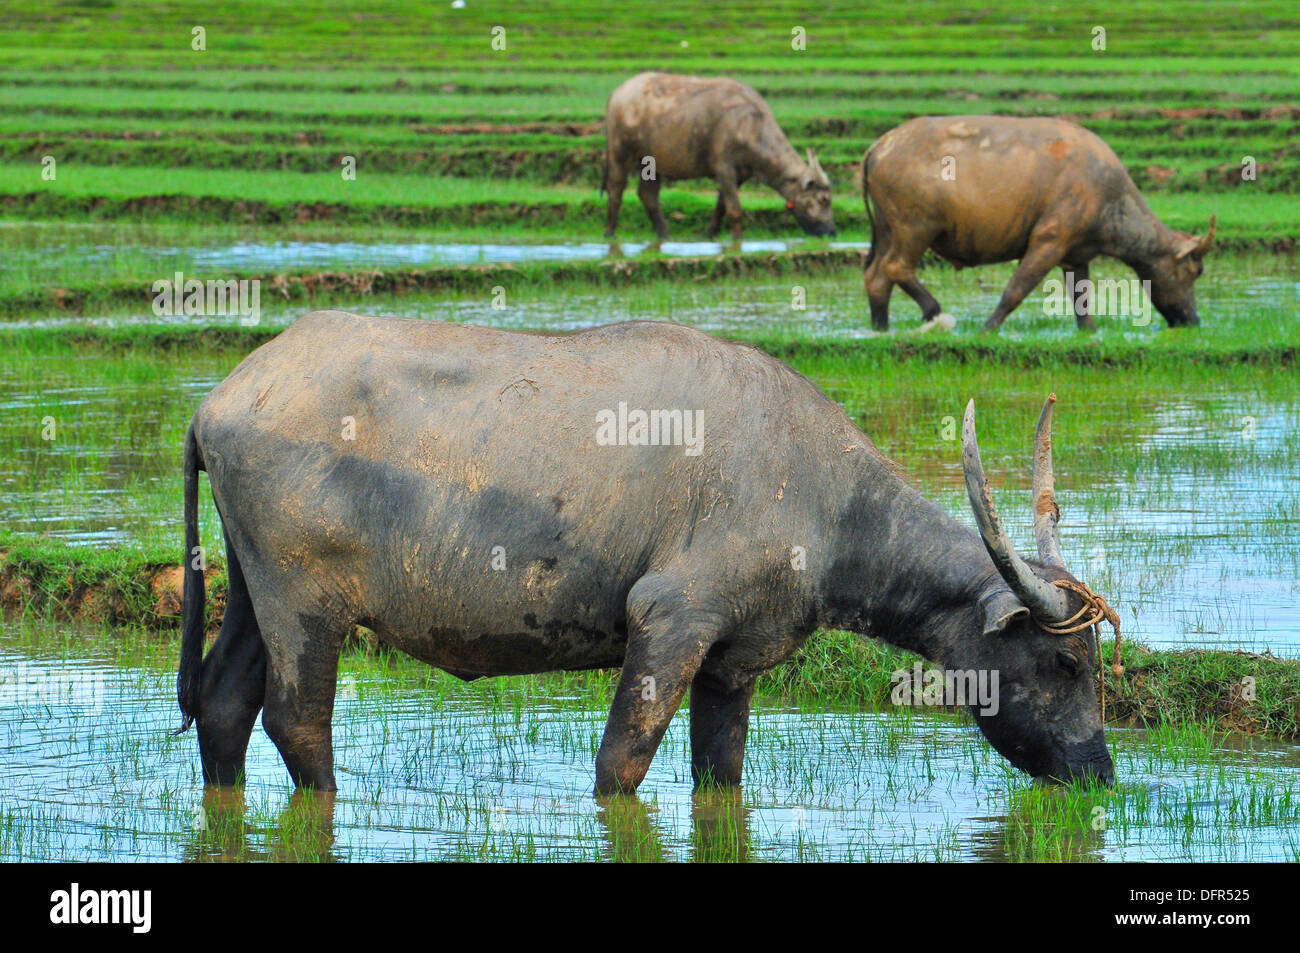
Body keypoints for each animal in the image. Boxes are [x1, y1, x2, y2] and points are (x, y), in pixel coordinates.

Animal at [178, 308, 1118, 790]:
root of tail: (223, 396)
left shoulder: (732, 663)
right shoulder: (670, 623)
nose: (1100, 771)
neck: (826, 498)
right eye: (1066, 664)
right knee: (297, 724)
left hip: (250, 591)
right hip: (306, 607)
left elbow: (721, 770)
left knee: (223, 706)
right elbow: (621, 764)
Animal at [598, 71, 832, 239]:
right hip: (620, 152)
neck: (749, 125)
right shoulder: (725, 169)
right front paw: (737, 238)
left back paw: (664, 234)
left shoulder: (739, 175)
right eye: (824, 200)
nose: (831, 232)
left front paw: (711, 232)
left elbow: (721, 205)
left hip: (651, 163)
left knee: (648, 196)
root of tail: (616, 93)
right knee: (616, 190)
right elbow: (734, 209)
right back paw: (609, 232)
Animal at [857, 114, 1211, 330]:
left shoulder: (1075, 256)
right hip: (916, 228)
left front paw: (1090, 332)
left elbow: (1081, 300)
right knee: (896, 268)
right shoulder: (1049, 240)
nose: (1193, 319)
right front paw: (988, 328)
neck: (1109, 195)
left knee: (876, 278)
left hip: (889, 230)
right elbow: (1016, 289)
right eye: (1195, 270)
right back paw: (933, 310)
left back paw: (880, 327)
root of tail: (880, 145)